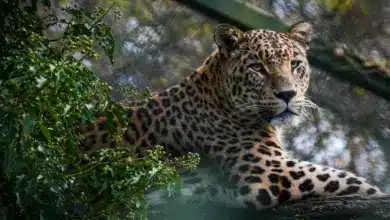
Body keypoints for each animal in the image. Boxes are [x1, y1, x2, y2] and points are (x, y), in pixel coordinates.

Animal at [77, 21, 386, 210]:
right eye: (257, 68)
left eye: (295, 64)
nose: (287, 94)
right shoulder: (268, 170)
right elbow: (348, 180)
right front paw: (380, 194)